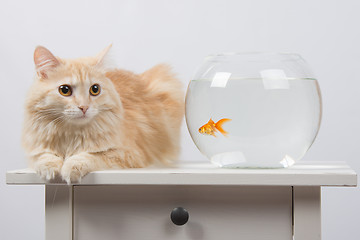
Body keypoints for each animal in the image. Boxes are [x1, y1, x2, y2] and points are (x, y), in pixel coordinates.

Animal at [23, 45, 183, 184]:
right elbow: (44, 157)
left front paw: (70, 167)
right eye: (65, 90)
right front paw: (49, 169)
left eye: (95, 89)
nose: (84, 107)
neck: (72, 135)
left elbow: (91, 156)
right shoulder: (35, 150)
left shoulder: (129, 154)